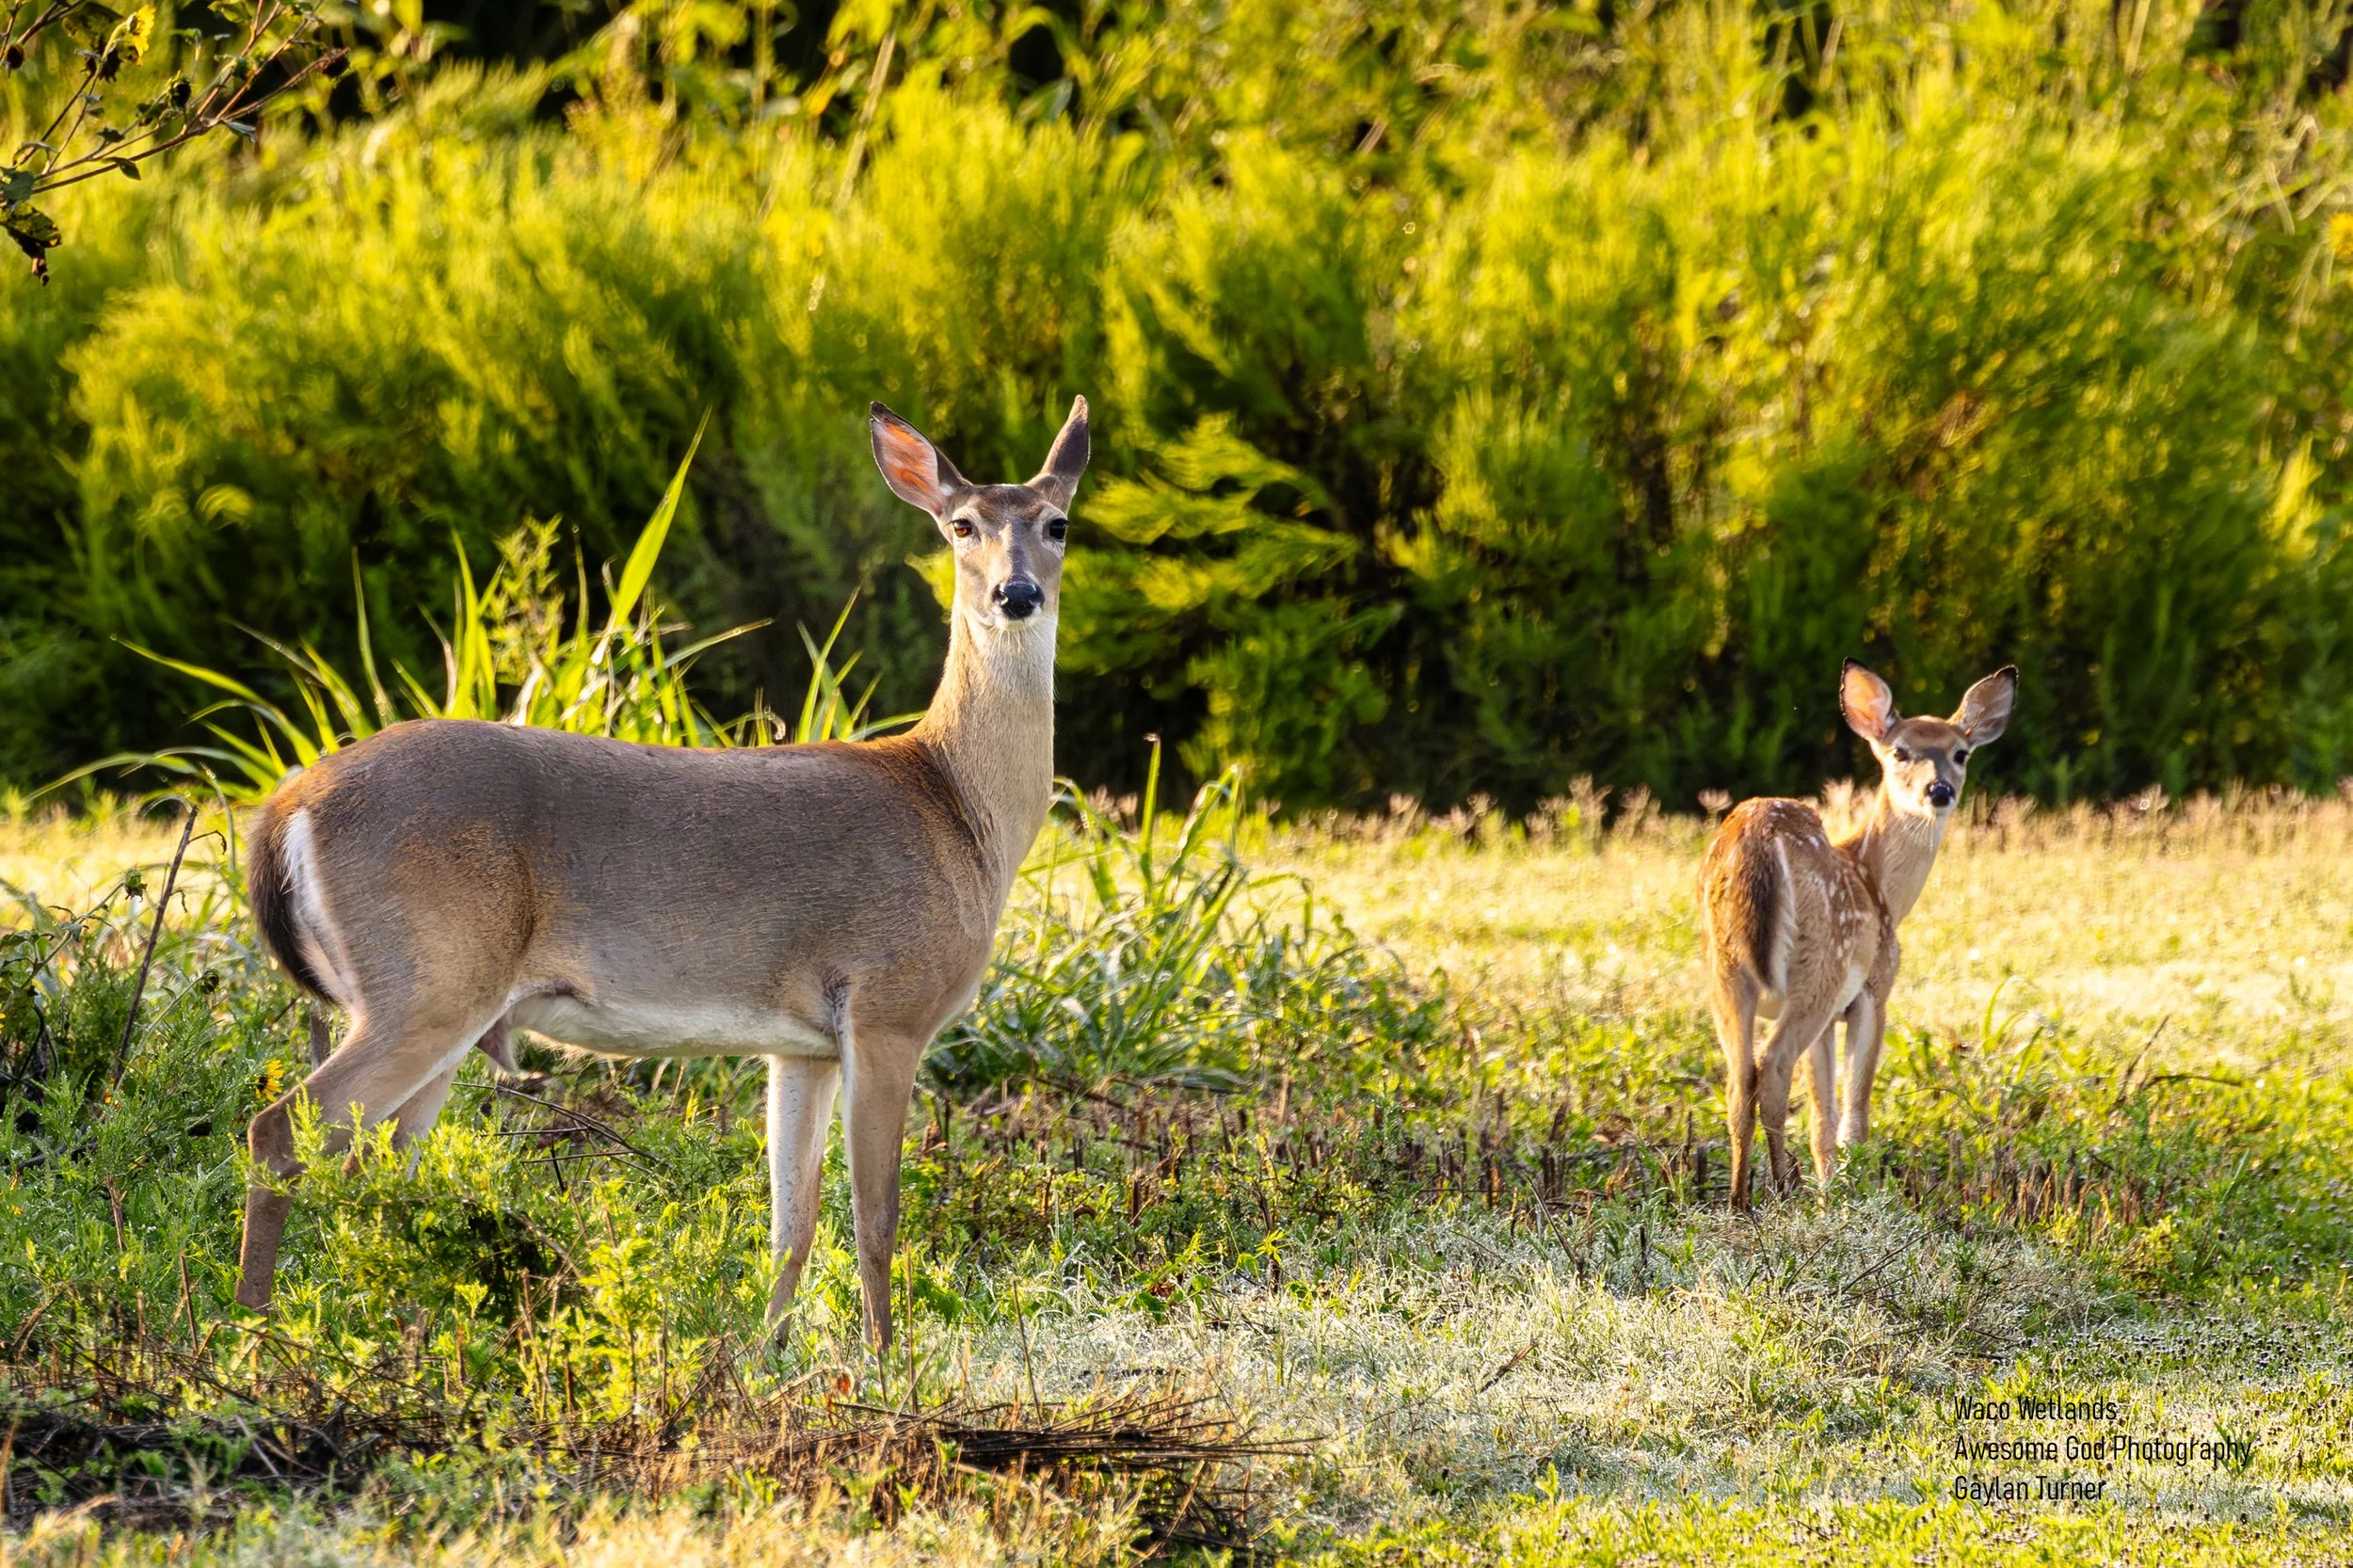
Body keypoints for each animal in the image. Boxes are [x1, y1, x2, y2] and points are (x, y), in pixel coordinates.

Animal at [233, 397, 1089, 1352]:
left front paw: (765, 1353)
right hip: (427, 983)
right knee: (279, 1131)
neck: (957, 806)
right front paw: (882, 1362)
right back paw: (251, 1337)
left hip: (429, 1006)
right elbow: (877, 1218)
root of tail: (287, 803)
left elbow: (791, 1222)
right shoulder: (889, 1006)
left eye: (1057, 523)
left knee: (381, 1171)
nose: (1018, 593)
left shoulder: (803, 1044)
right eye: (960, 525)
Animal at [1698, 660, 2015, 1207]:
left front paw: (1831, 1192)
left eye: (1961, 753)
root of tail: (1758, 842)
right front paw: (1848, 1196)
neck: (1878, 883)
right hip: (1821, 964)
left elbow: (1823, 1119)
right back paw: (1780, 1192)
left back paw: (1739, 1202)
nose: (1939, 791)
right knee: (1773, 1064)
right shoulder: (1872, 992)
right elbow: (1854, 1118)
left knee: (1740, 1079)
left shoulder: (1830, 1019)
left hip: (1727, 968)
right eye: (1900, 751)